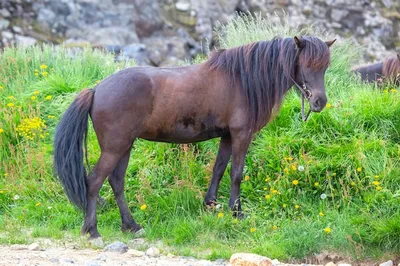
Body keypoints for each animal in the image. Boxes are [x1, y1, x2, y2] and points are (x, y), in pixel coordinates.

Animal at [53, 34, 334, 240]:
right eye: (308, 65)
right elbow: (236, 173)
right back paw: (92, 230)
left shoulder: (227, 136)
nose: (319, 102)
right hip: (115, 147)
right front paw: (237, 212)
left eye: (325, 67)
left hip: (125, 146)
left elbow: (219, 169)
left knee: (116, 182)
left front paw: (211, 205)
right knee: (94, 182)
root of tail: (97, 89)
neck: (241, 80)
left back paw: (131, 225)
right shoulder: (241, 135)